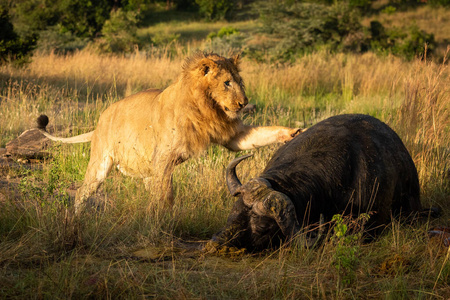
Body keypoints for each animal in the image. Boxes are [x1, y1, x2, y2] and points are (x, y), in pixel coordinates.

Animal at [37, 53, 298, 213]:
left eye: (239, 81)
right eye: (226, 83)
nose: (244, 103)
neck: (205, 108)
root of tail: (99, 122)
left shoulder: (233, 136)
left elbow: (259, 136)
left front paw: (293, 132)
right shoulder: (163, 157)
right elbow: (164, 195)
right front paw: (157, 221)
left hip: (145, 169)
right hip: (101, 164)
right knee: (82, 192)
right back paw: (75, 220)